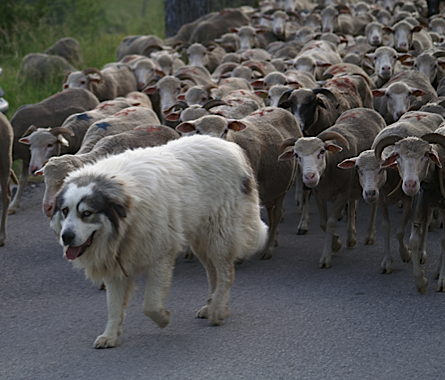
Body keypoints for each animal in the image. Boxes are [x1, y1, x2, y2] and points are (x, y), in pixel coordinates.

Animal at [52, 135, 268, 348]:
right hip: (200, 241)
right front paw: (110, 335)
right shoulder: (116, 265)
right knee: (213, 272)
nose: (66, 236)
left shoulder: (160, 257)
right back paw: (214, 305)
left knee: (225, 273)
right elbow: (113, 306)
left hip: (218, 235)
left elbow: (150, 304)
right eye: (65, 211)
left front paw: (163, 318)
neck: (126, 219)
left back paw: (216, 310)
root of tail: (231, 147)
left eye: (86, 213)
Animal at [175, 107, 300, 262]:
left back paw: (268, 248)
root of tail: (279, 109)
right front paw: (190, 250)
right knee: (271, 212)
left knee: (277, 214)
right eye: (198, 131)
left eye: (225, 130)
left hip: (285, 186)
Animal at [278, 107, 386, 268]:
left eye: (322, 151)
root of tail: (365, 109)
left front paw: (326, 256)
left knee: (373, 205)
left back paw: (369, 235)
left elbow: (331, 223)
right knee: (352, 203)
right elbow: (323, 223)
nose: (309, 176)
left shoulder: (342, 194)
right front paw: (337, 244)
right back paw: (351, 237)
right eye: (296, 155)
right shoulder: (319, 193)